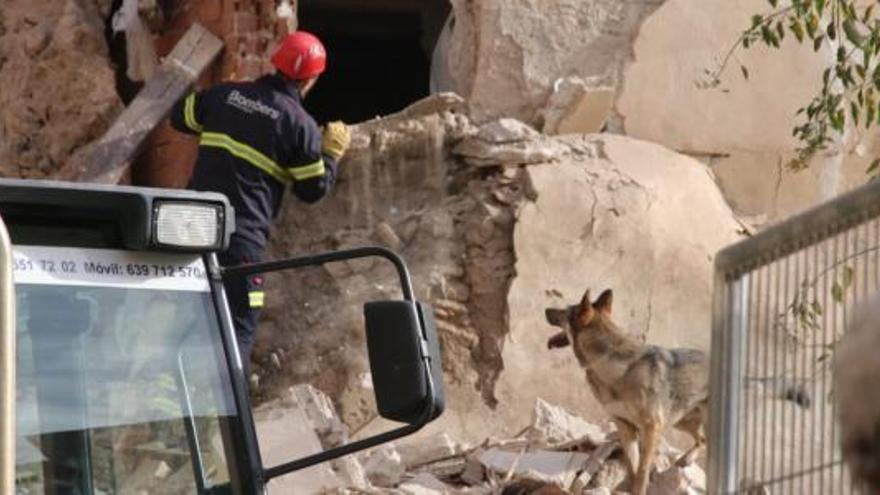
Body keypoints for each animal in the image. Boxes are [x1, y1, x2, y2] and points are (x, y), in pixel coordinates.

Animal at [544, 290, 708, 495]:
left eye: (564, 311)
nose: (545, 310)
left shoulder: (651, 428)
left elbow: (643, 470)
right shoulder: (626, 427)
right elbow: (633, 466)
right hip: (682, 421)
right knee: (703, 439)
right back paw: (686, 459)